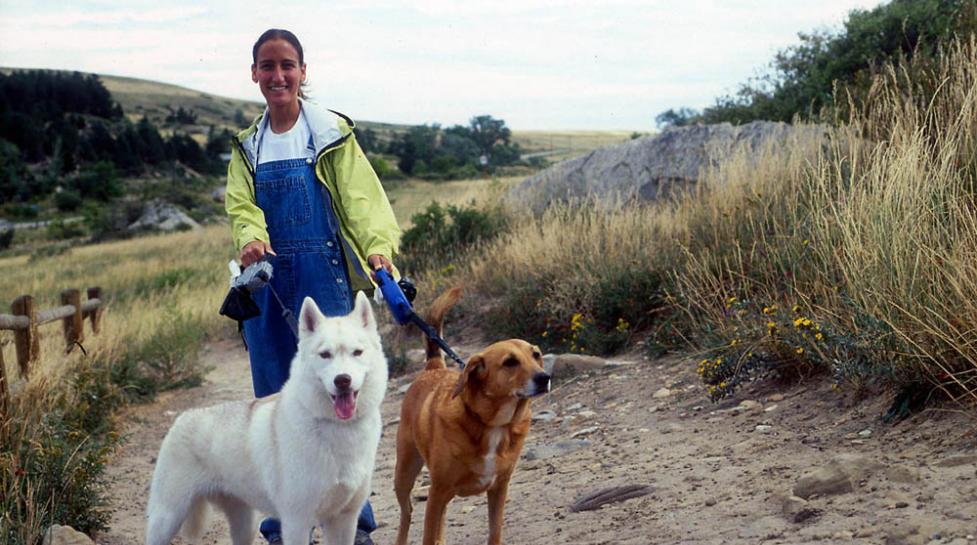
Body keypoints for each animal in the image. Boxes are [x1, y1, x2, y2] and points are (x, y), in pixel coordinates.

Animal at [146, 294, 388, 544]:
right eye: (325, 354)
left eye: (357, 352)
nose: (342, 380)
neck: (337, 428)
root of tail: (182, 418)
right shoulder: (296, 522)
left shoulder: (344, 520)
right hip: (167, 519)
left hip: (244, 524)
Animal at [394, 284, 548, 544]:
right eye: (510, 362)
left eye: (536, 355)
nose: (544, 378)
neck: (493, 424)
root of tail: (433, 367)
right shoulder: (438, 491)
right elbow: (427, 534)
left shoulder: (498, 488)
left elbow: (494, 532)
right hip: (404, 475)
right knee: (407, 513)